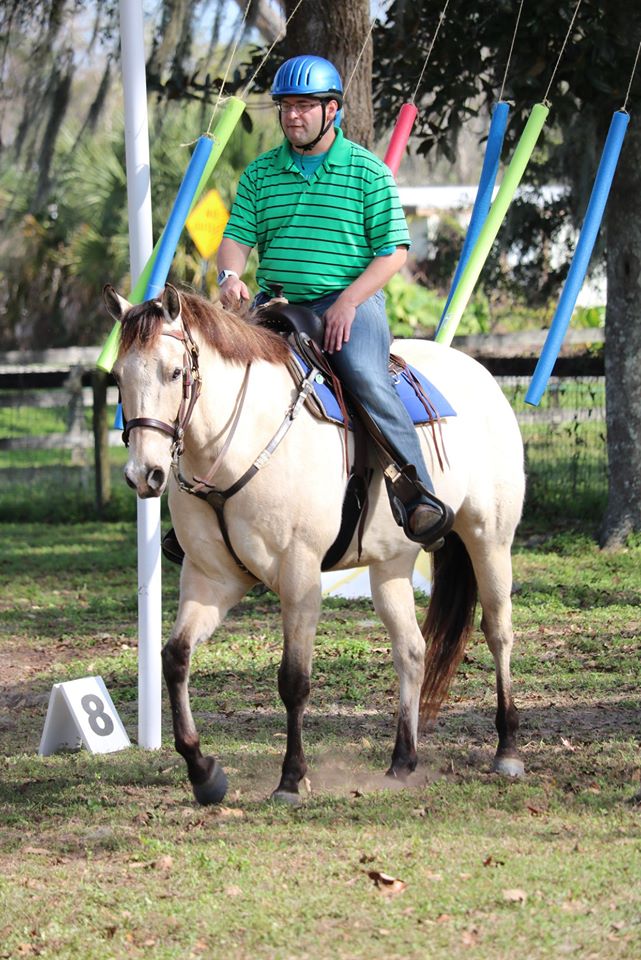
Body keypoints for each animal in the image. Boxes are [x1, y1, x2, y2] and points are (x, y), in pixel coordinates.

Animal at [105, 284, 524, 804]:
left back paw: (507, 750)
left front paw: (291, 778)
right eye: (117, 376)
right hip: (392, 563)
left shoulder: (299, 575)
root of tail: (481, 374)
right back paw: (402, 761)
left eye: (175, 372)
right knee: (411, 649)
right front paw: (204, 773)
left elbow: (293, 679)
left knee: (498, 631)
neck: (238, 442)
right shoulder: (210, 579)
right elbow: (175, 658)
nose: (144, 475)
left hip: (490, 539)